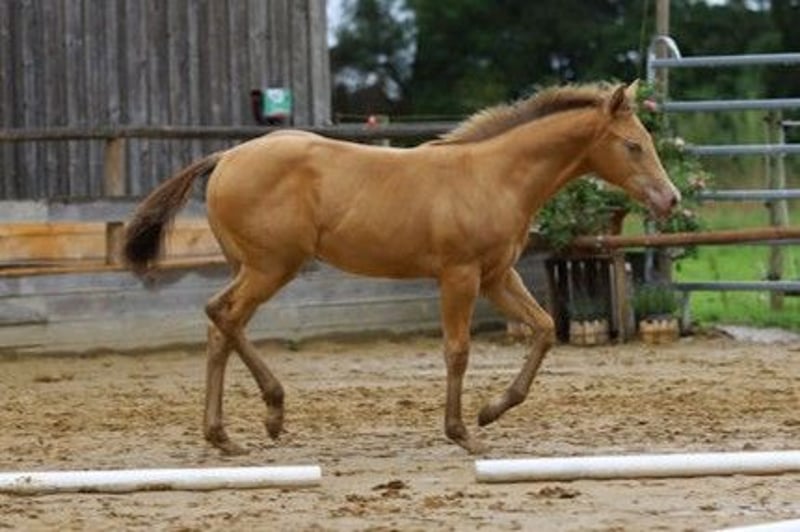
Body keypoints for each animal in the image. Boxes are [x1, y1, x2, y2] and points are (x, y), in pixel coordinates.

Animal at [123, 81, 679, 455]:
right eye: (633, 145)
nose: (671, 199)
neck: (495, 177)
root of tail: (225, 156)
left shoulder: (497, 276)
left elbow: (543, 328)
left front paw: (490, 412)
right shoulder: (459, 276)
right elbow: (457, 351)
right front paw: (463, 434)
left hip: (253, 267)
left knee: (221, 329)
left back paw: (226, 434)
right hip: (270, 267)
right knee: (221, 314)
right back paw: (272, 411)